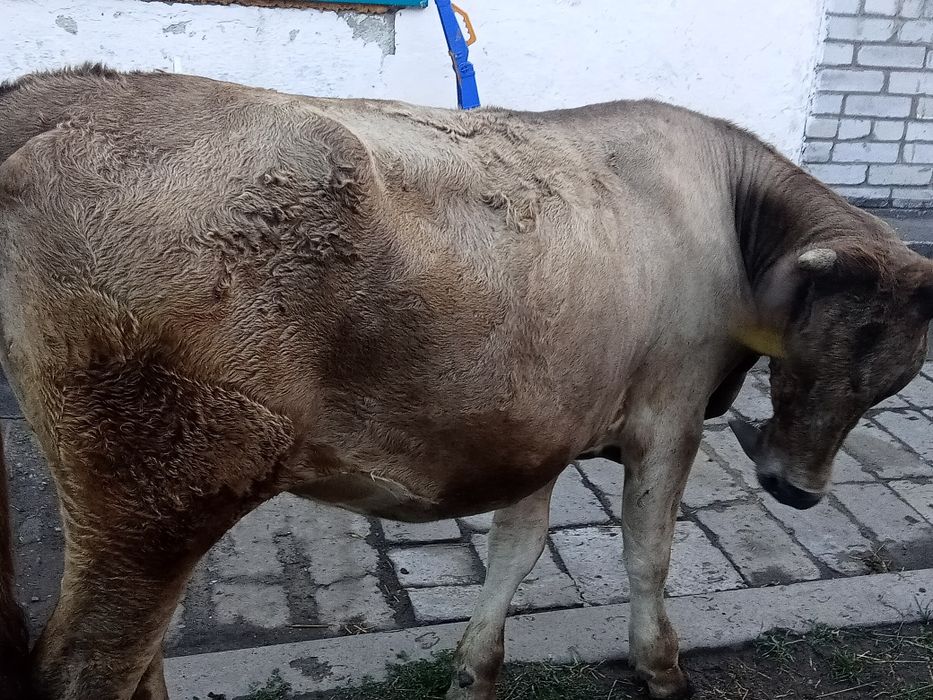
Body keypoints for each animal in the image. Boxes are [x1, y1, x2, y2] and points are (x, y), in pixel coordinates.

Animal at [0, 64, 930, 700]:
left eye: (891, 383)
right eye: (808, 353)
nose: (796, 490)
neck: (729, 217)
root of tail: (67, 95)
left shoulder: (542, 424)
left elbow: (516, 549)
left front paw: (474, 670)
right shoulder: (667, 414)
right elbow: (647, 550)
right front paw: (660, 667)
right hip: (159, 491)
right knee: (90, 664)